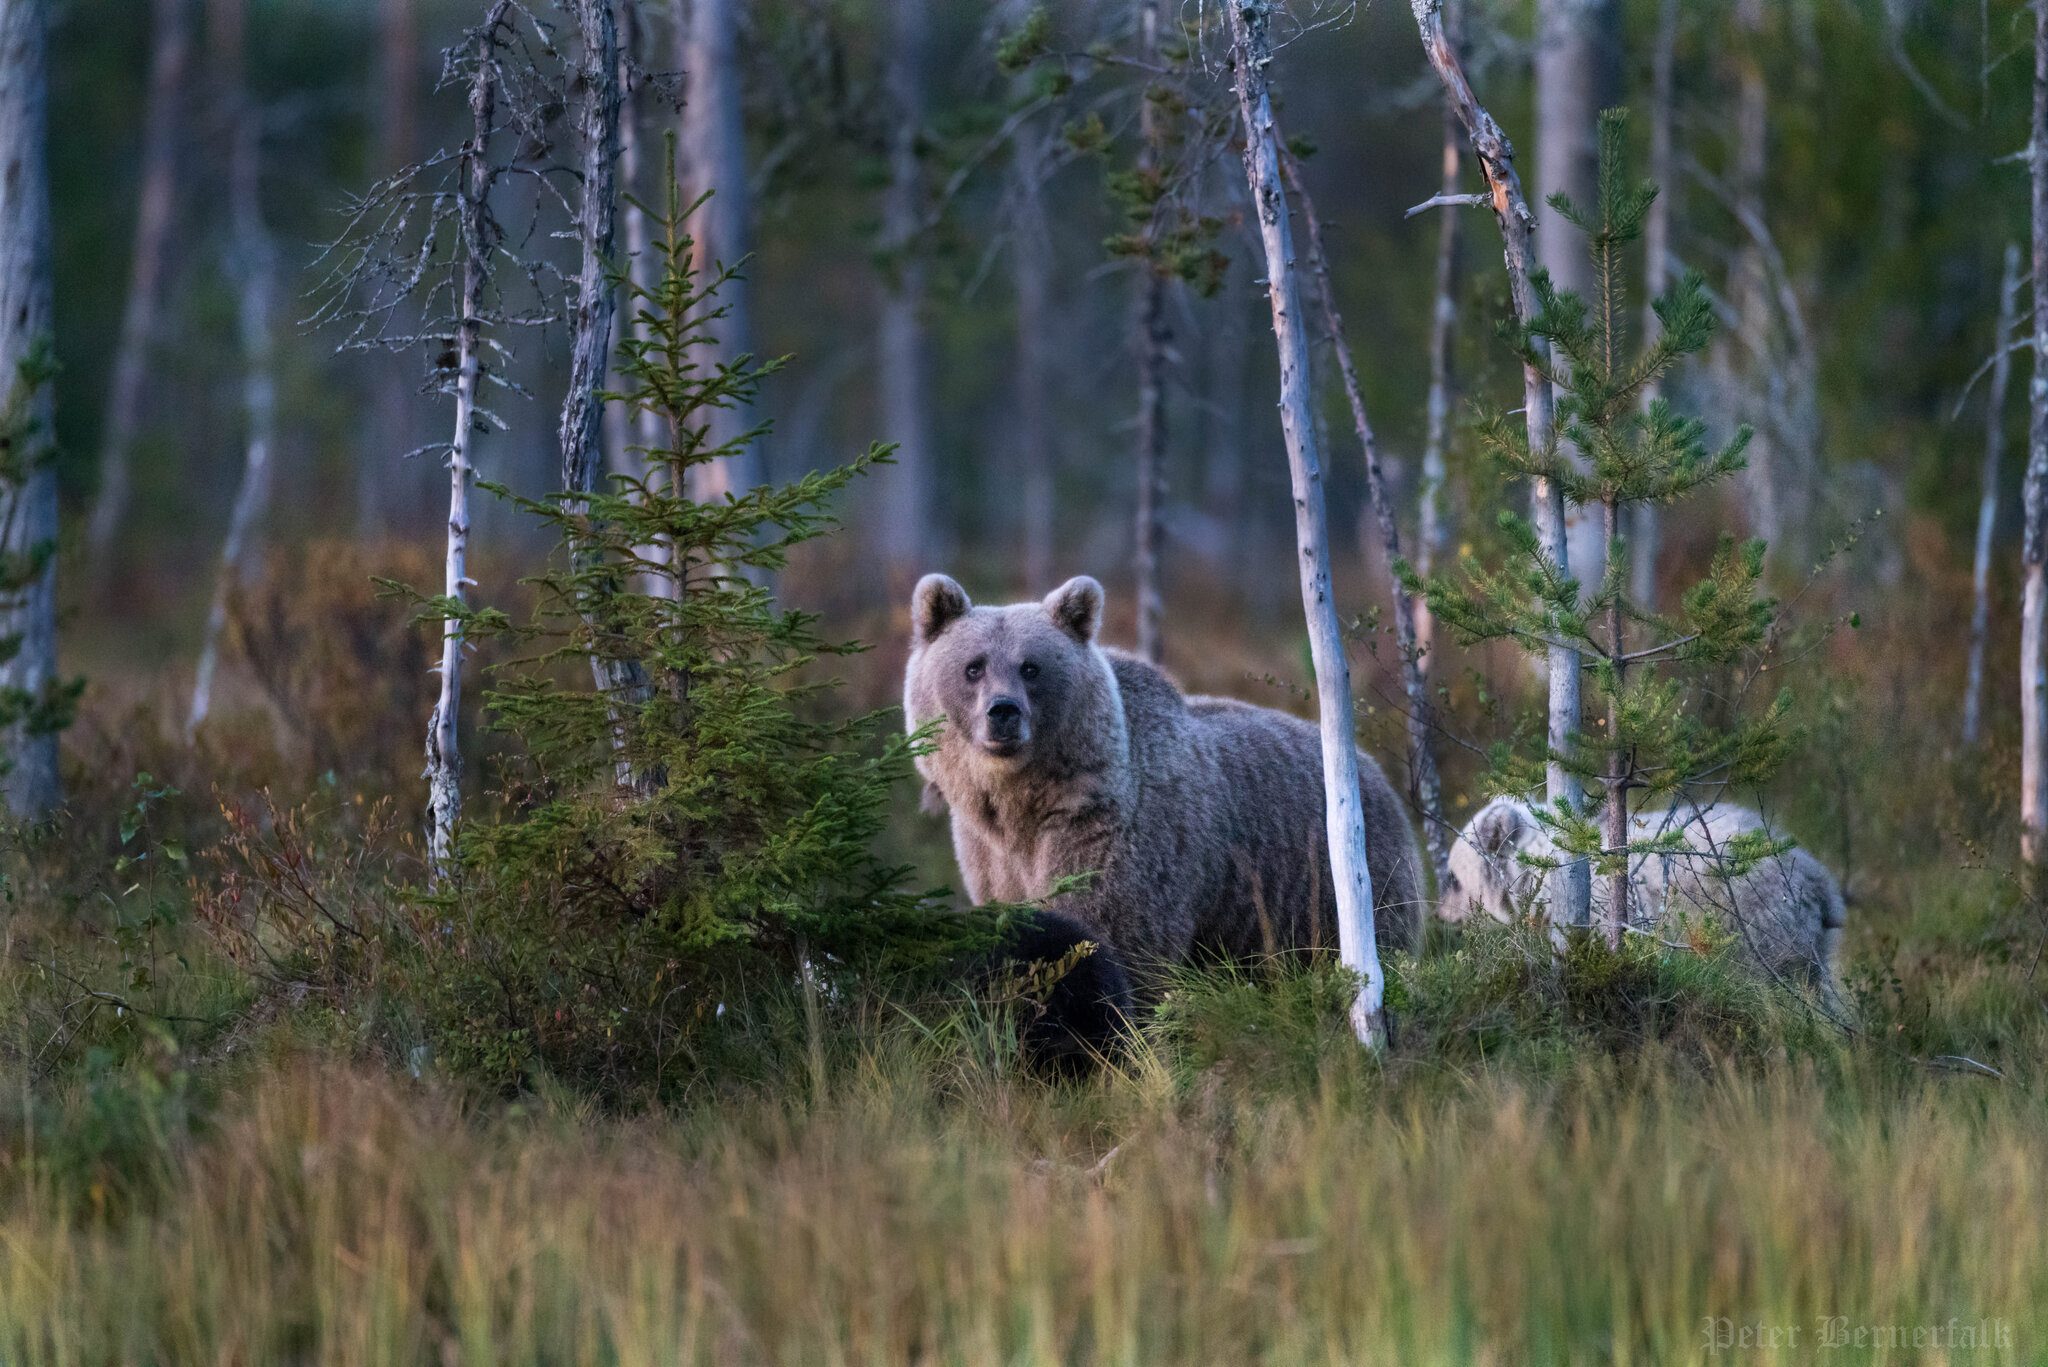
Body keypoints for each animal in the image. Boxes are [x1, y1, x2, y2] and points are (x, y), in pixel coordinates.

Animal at [905, 573, 1417, 979]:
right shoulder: (990, 856)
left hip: (1341, 883)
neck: (1024, 803)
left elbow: (1111, 934)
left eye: (1031, 667)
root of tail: (1375, 771)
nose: (1003, 712)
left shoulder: (1110, 833)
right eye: (973, 667)